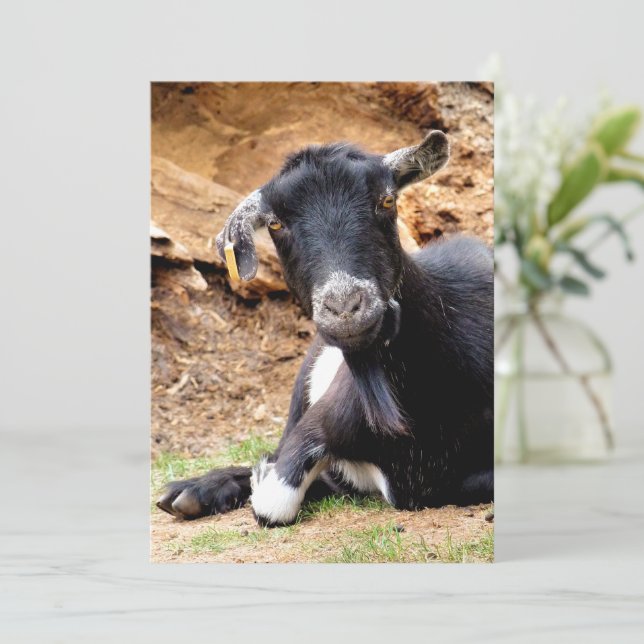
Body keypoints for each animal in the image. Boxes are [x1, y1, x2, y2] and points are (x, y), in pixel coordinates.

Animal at [157, 130, 493, 527]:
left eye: (387, 200)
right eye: (275, 223)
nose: (345, 308)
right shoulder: (317, 423)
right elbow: (274, 500)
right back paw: (191, 492)